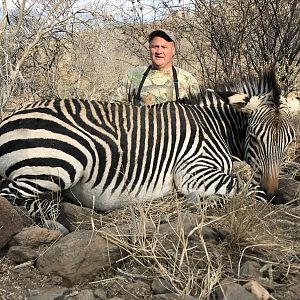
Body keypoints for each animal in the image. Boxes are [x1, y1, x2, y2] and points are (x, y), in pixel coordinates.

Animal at [0, 68, 296, 229]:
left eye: (289, 141)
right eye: (254, 137)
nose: (272, 189)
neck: (214, 126)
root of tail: (10, 117)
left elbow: (251, 187)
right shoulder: (192, 171)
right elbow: (246, 189)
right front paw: (202, 202)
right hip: (61, 163)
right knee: (9, 195)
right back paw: (55, 221)